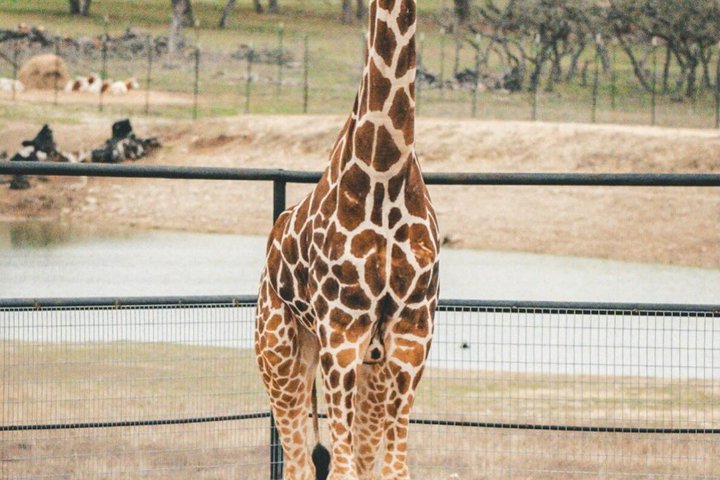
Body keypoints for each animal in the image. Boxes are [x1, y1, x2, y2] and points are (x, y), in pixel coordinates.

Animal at [255, 0, 439, 478]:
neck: (385, 173)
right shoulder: (341, 335)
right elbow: (341, 469)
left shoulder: (412, 336)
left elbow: (393, 469)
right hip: (280, 353)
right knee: (299, 463)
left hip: (368, 367)